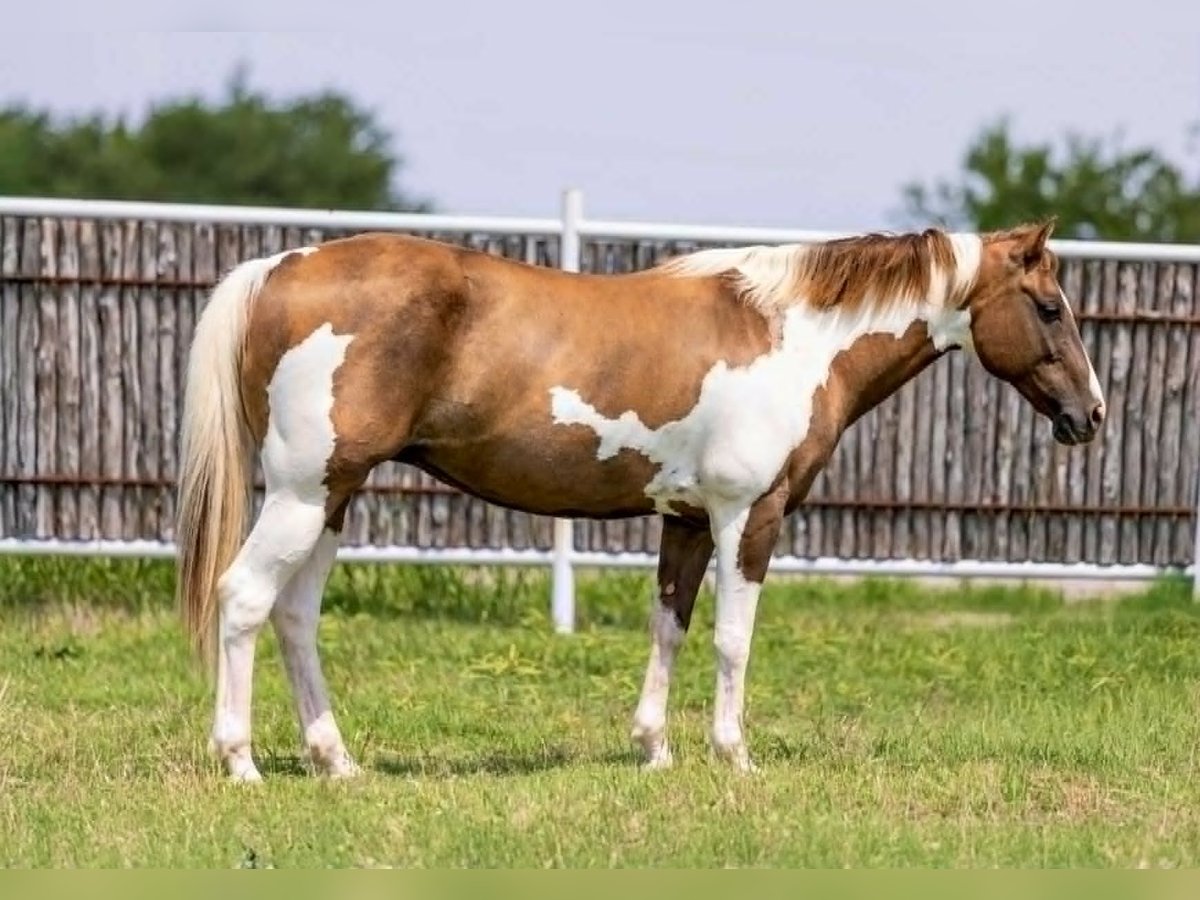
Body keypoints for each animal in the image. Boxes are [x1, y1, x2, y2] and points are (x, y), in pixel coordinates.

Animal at [176, 219, 1105, 780]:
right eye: (1048, 307)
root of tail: (279, 269)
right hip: (302, 494)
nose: (1090, 415)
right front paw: (734, 755)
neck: (796, 336)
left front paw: (655, 750)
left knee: (295, 616)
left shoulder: (685, 521)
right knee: (244, 599)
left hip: (331, 498)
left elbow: (670, 629)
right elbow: (732, 640)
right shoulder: (748, 516)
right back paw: (240, 760)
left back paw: (336, 761)